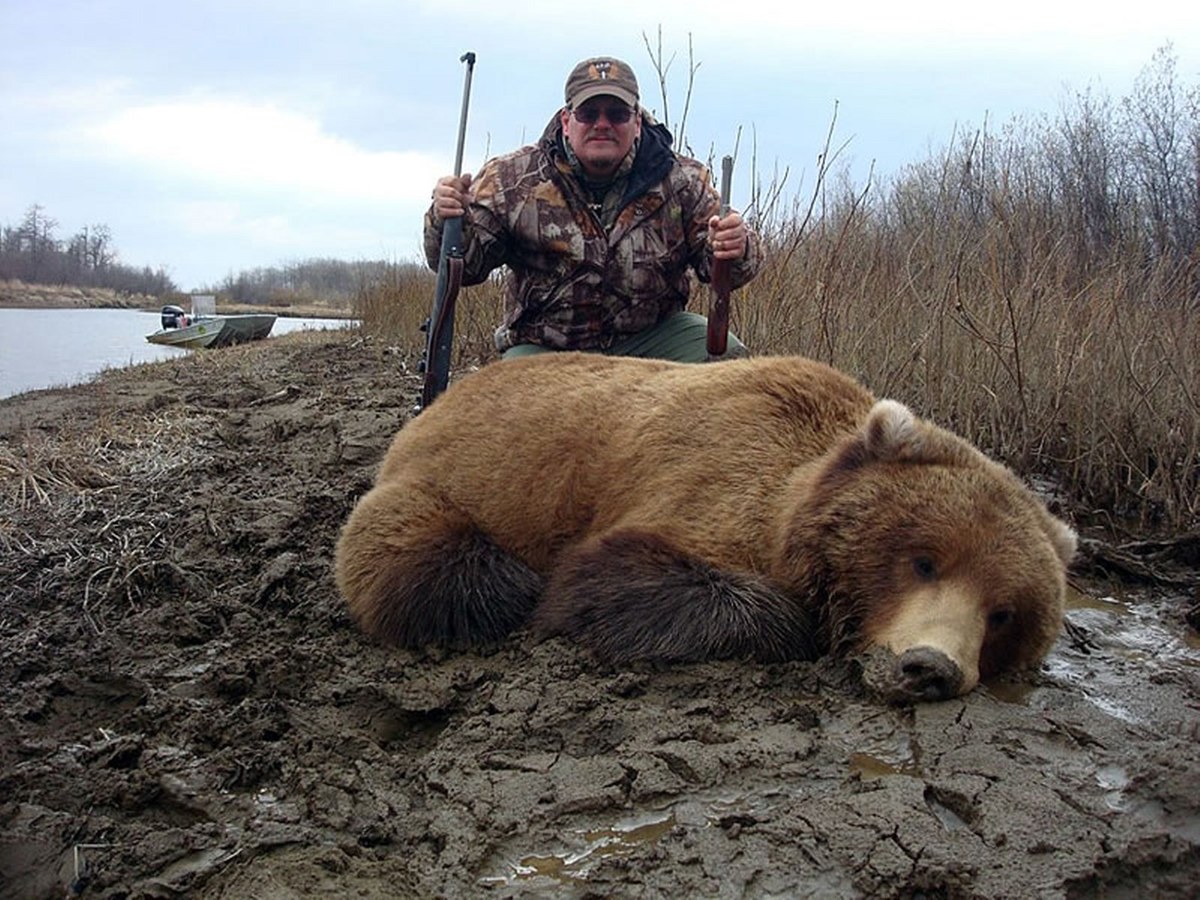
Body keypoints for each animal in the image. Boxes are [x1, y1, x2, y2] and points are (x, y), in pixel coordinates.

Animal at [333, 352, 1075, 705]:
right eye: (925, 559)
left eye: (1006, 612)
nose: (929, 666)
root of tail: (438, 404)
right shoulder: (705, 476)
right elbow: (608, 576)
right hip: (444, 484)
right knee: (426, 564)